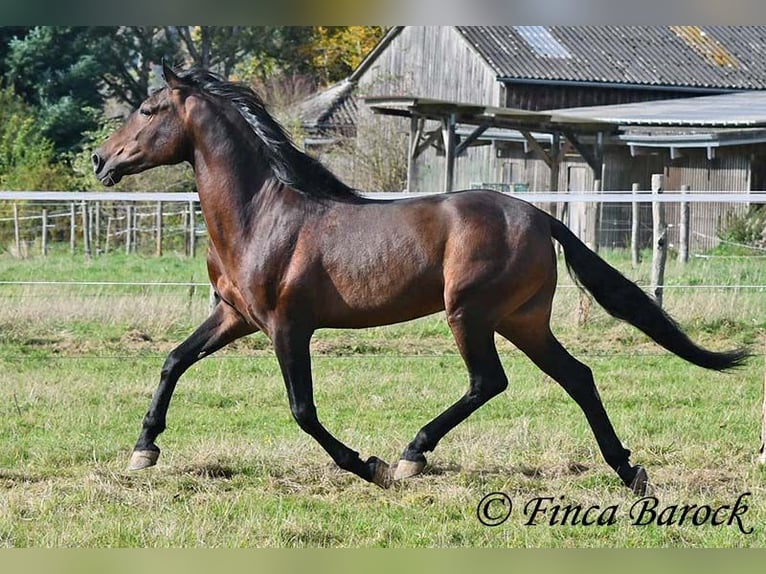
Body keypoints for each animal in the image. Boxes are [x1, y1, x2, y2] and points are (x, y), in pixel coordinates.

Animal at [91, 63, 748, 495]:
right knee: (578, 377)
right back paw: (630, 472)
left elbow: (302, 409)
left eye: (148, 110)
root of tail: (540, 216)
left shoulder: (286, 327)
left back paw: (412, 454)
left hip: (471, 314)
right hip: (523, 320)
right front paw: (143, 450)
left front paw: (370, 466)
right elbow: (173, 360)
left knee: (489, 381)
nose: (100, 160)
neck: (261, 214)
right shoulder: (234, 317)